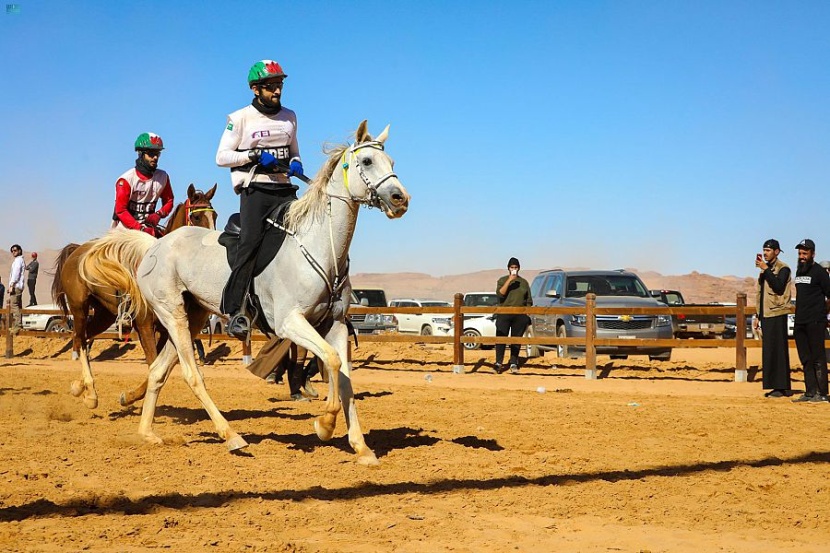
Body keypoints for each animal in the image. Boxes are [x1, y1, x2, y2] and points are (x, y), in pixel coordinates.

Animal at [52, 183, 218, 408]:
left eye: (215, 215)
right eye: (197, 217)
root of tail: (77, 251)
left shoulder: (166, 330)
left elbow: (157, 368)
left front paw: (128, 396)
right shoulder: (144, 325)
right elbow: (153, 363)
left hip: (104, 315)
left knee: (85, 337)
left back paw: (84, 388)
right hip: (79, 308)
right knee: (79, 337)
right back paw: (87, 392)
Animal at [79, 119, 412, 462]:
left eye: (391, 162)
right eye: (367, 161)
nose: (400, 198)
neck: (321, 248)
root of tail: (154, 246)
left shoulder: (333, 324)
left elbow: (343, 376)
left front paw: (361, 447)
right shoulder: (290, 323)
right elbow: (332, 362)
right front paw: (325, 424)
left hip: (192, 317)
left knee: (159, 370)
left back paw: (147, 433)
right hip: (171, 315)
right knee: (189, 373)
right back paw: (231, 436)